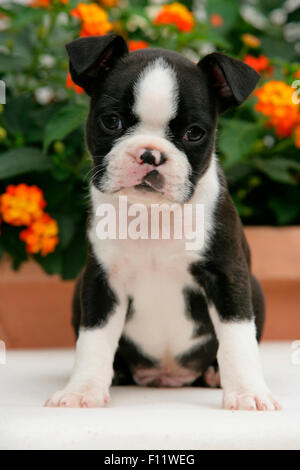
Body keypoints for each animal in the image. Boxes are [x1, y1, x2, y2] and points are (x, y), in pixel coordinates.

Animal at [45, 35, 280, 412]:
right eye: (111, 122)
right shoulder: (101, 281)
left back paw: (213, 375)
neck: (152, 215)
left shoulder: (228, 277)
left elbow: (237, 338)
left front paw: (248, 393)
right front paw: (81, 390)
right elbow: (93, 339)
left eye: (194, 133)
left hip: (255, 287)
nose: (150, 154)